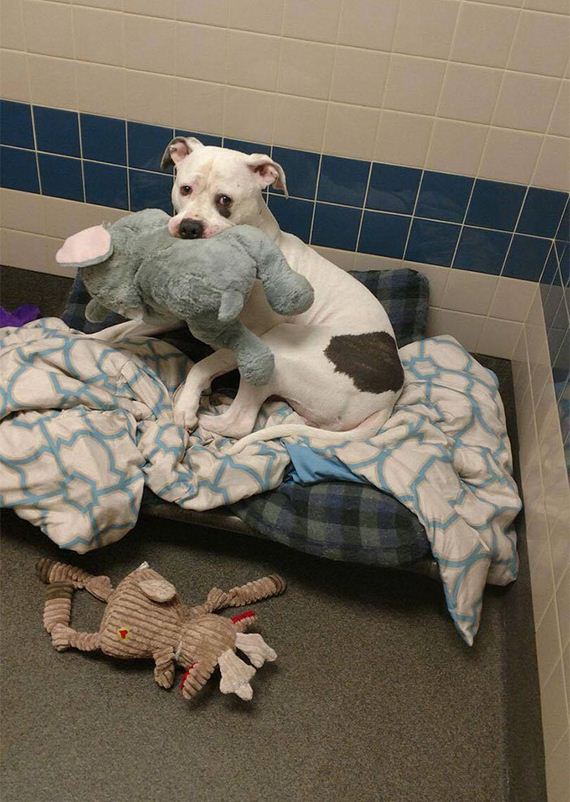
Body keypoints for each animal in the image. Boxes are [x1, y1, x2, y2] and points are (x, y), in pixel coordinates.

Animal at [94, 138, 404, 450]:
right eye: (185, 189)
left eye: (225, 200)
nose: (190, 226)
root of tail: (387, 402)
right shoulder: (175, 318)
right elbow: (120, 329)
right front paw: (89, 340)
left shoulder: (245, 344)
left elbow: (201, 367)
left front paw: (186, 406)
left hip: (277, 348)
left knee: (240, 423)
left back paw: (204, 418)